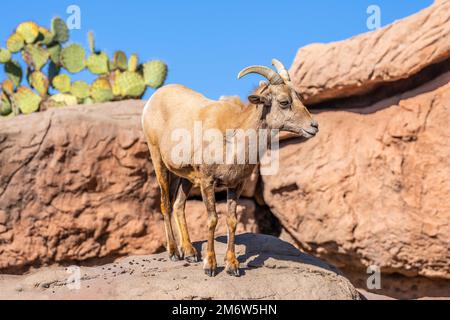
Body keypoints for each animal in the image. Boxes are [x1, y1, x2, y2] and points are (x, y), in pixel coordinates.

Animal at [142, 58, 318, 276]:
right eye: (284, 102)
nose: (314, 126)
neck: (234, 141)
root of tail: (153, 99)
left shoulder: (236, 185)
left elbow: (232, 221)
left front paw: (232, 266)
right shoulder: (208, 182)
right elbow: (212, 220)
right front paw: (210, 266)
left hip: (186, 177)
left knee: (178, 206)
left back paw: (190, 253)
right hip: (158, 160)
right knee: (165, 205)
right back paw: (174, 252)